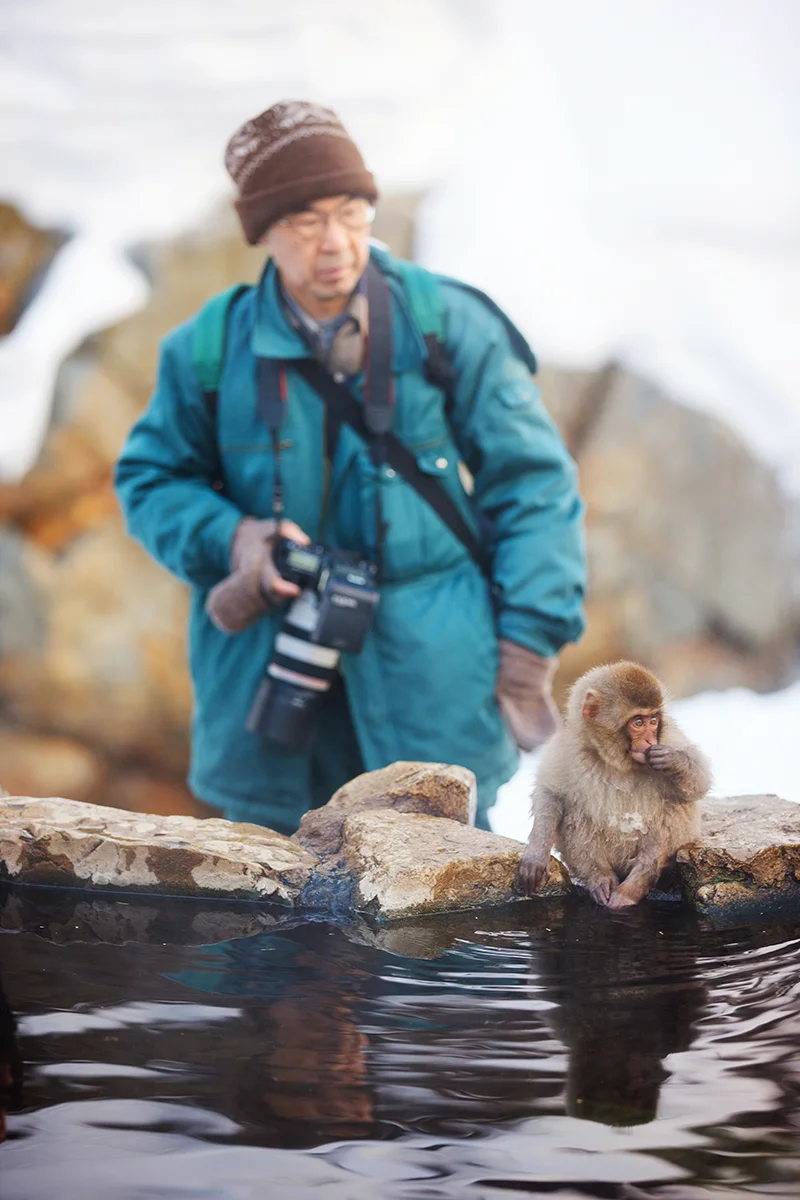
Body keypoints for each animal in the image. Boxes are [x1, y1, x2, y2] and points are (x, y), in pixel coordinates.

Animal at [519, 661, 711, 909]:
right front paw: (536, 854)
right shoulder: (569, 747)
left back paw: (635, 885)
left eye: (653, 721)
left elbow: (699, 783)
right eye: (638, 722)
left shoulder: (670, 738)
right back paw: (599, 878)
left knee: (674, 807)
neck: (618, 761)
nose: (650, 740)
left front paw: (673, 760)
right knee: (575, 811)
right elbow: (550, 793)